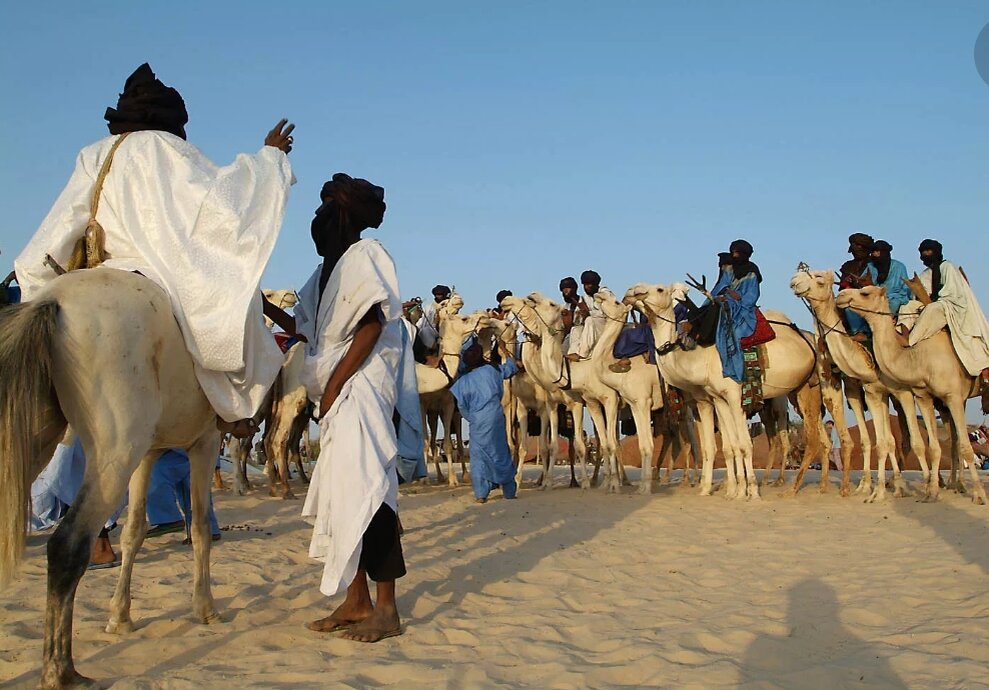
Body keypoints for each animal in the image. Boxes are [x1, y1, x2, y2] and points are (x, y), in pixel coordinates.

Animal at [628, 282, 824, 498]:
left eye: (660, 290)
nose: (632, 292)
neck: (701, 359)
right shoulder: (715, 399)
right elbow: (727, 446)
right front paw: (728, 490)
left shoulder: (735, 395)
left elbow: (744, 444)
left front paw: (750, 491)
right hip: (799, 390)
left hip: (809, 389)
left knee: (810, 438)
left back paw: (791, 488)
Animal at [792, 266, 932, 498]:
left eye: (820, 279)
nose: (794, 281)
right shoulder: (858, 390)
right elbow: (872, 441)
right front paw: (866, 486)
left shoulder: (900, 391)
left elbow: (904, 440)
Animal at [832, 282, 988, 502]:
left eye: (865, 293)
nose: (842, 296)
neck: (919, 358)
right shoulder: (924, 396)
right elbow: (934, 447)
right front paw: (931, 492)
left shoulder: (953, 396)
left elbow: (966, 447)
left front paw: (979, 495)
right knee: (953, 440)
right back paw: (954, 484)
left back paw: (960, 485)